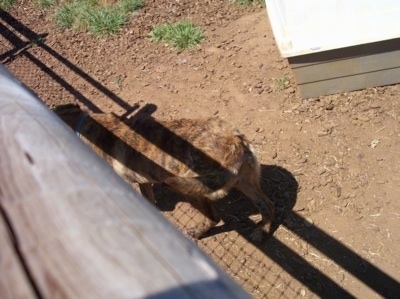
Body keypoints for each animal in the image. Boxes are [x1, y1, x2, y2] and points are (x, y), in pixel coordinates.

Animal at [54, 104, 276, 240]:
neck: (83, 125)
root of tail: (233, 141)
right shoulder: (144, 182)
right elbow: (148, 198)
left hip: (193, 191)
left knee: (215, 217)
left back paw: (198, 232)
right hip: (245, 182)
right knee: (268, 204)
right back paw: (262, 231)